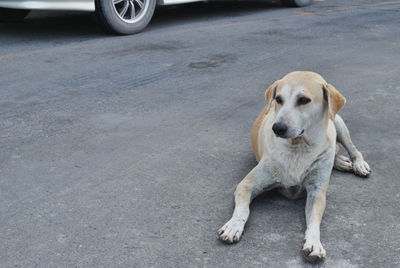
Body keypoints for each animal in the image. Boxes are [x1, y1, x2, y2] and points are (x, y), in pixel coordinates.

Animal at [217, 70, 370, 262]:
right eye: (278, 99)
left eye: (304, 100)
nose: (278, 128)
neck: (299, 147)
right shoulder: (246, 185)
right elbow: (242, 210)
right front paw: (233, 226)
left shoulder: (316, 192)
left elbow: (314, 222)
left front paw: (314, 243)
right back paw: (341, 162)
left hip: (338, 122)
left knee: (350, 147)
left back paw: (357, 163)